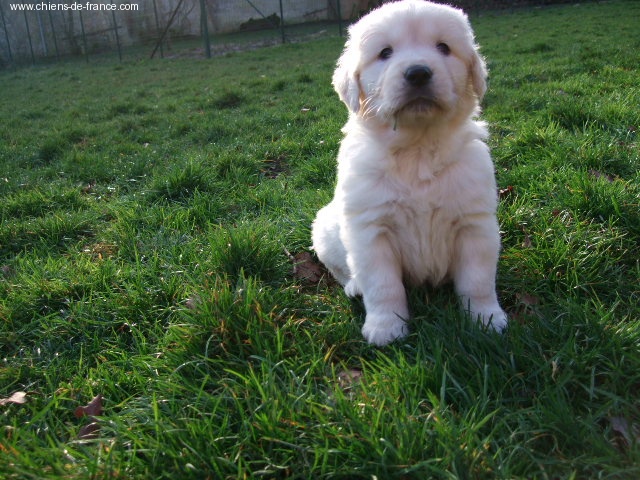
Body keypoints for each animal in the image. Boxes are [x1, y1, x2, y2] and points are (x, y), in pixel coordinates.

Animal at [311, 0, 507, 346]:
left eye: (443, 47)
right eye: (385, 53)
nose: (418, 73)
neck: (418, 149)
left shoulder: (475, 224)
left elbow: (478, 280)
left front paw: (485, 319)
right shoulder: (371, 230)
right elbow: (383, 285)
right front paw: (386, 327)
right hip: (324, 229)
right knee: (342, 271)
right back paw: (354, 286)